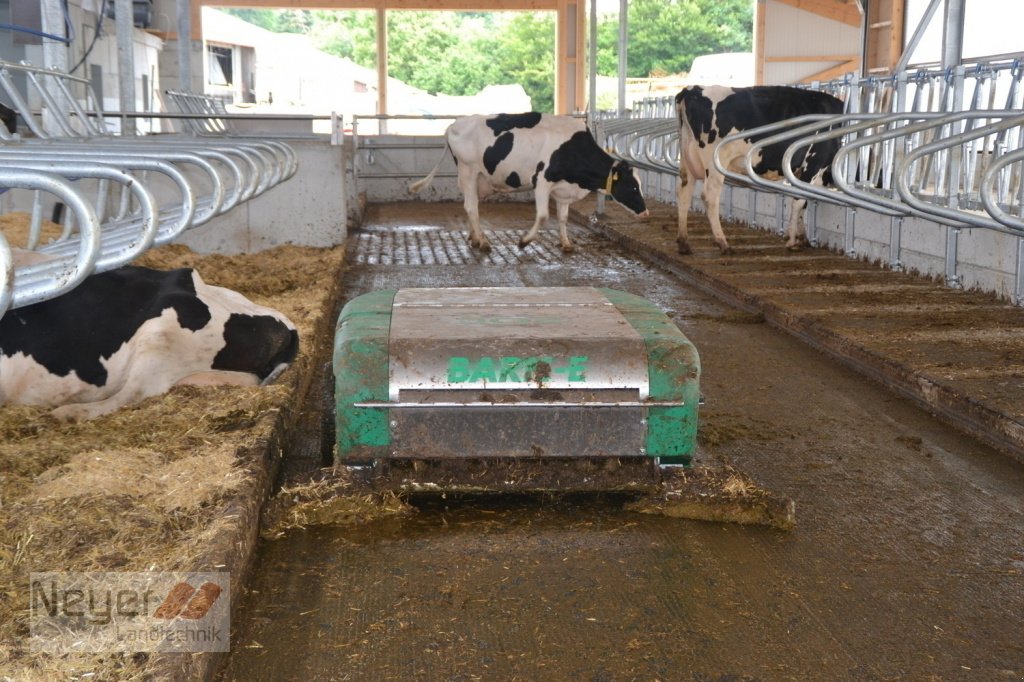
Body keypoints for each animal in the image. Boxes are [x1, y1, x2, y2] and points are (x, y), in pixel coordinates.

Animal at [409, 111, 643, 251]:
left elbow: (563, 218)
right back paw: (483, 242)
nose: (645, 211)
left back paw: (475, 237)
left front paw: (566, 243)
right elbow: (543, 215)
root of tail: (456, 123)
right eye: (632, 186)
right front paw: (524, 241)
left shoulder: (563, 188)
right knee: (470, 206)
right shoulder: (542, 180)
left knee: (471, 204)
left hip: (477, 179)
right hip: (468, 171)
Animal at [675, 84, 843, 251]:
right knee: (709, 196)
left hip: (687, 157)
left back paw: (684, 242)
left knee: (684, 192)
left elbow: (803, 201)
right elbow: (799, 201)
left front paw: (802, 238)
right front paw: (791, 241)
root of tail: (692, 89)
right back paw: (723, 243)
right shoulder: (814, 163)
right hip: (715, 161)